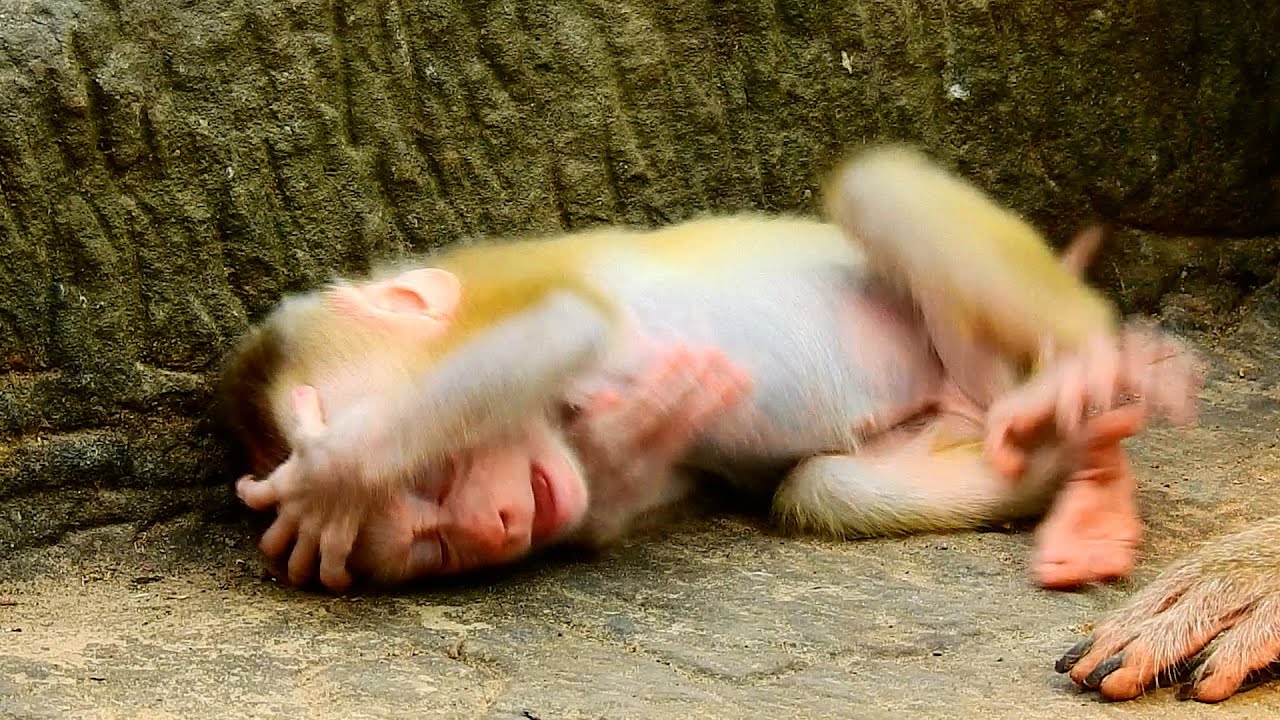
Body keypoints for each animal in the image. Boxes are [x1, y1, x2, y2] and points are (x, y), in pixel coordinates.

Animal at [219, 145, 1202, 595]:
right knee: (829, 485)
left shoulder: (504, 285)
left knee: (873, 187)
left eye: (437, 478)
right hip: (964, 414)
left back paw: (1085, 368)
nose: (492, 529)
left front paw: (336, 474)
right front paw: (621, 455)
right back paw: (1081, 473)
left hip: (989, 345)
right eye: (435, 548)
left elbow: (565, 325)